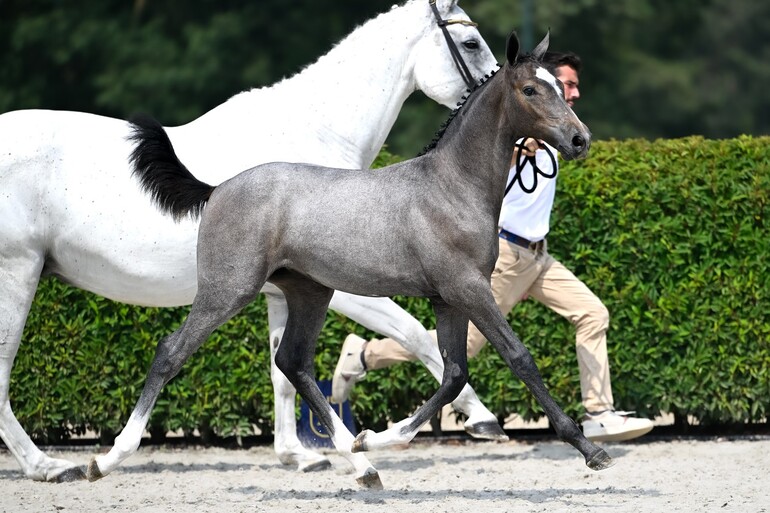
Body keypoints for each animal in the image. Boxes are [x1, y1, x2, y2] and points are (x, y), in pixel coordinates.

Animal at [0, 0, 501, 483]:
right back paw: (48, 466)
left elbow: (284, 371)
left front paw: (300, 455)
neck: (314, 135)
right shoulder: (344, 289)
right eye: (471, 43)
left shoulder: (284, 290)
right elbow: (414, 333)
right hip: (17, 274)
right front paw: (480, 417)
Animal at [93, 30, 614, 490]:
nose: (580, 139)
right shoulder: (468, 289)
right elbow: (517, 357)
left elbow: (453, 373)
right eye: (531, 89)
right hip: (228, 291)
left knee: (293, 363)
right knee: (171, 353)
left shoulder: (448, 299)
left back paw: (361, 464)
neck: (451, 188)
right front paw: (592, 451)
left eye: (558, 85)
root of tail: (217, 189)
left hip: (310, 292)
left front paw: (373, 438)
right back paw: (104, 459)